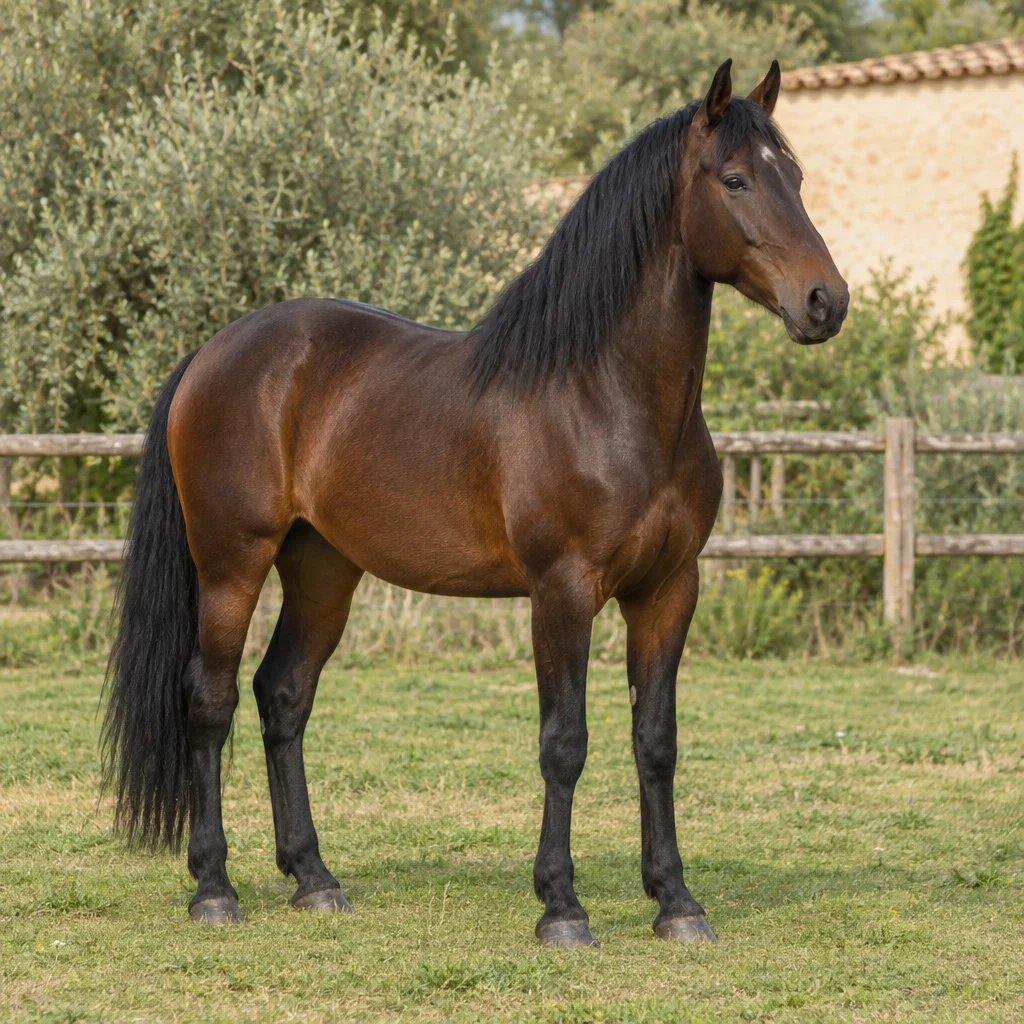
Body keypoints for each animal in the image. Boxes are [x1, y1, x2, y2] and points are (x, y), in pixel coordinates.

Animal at [102, 58, 847, 947]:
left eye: (795, 178)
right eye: (734, 179)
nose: (826, 301)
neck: (607, 398)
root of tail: (213, 352)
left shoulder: (669, 591)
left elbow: (656, 741)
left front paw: (676, 901)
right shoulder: (561, 591)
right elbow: (565, 742)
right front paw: (561, 906)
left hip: (322, 570)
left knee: (282, 697)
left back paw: (314, 879)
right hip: (230, 565)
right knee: (208, 704)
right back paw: (214, 887)